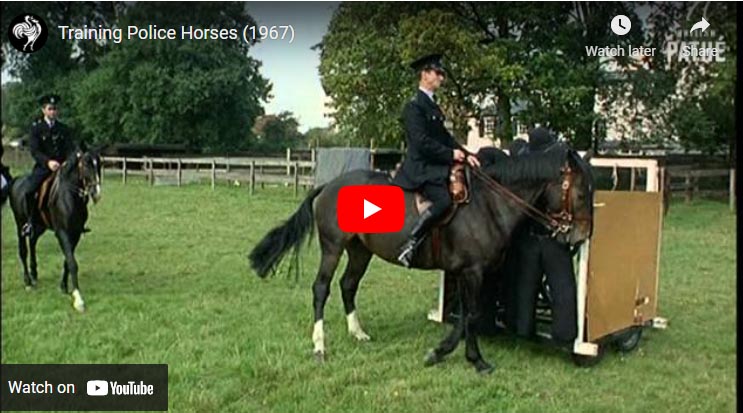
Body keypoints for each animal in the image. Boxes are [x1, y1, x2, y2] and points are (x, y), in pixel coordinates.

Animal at [8, 146, 102, 310]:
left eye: (99, 164)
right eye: (85, 164)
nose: (96, 193)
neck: (70, 197)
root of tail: (17, 180)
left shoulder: (75, 234)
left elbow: (68, 261)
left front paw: (64, 287)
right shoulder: (62, 233)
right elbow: (72, 262)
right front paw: (78, 298)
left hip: (39, 226)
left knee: (32, 242)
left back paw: (34, 273)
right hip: (20, 224)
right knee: (23, 251)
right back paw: (28, 281)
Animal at [250, 142, 592, 374]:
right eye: (581, 193)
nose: (580, 236)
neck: (488, 204)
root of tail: (328, 185)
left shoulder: (472, 272)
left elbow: (468, 315)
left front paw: (455, 354)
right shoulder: (472, 271)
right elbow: (470, 315)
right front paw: (465, 358)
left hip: (360, 251)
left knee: (348, 285)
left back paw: (358, 333)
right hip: (333, 248)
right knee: (321, 289)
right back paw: (320, 347)